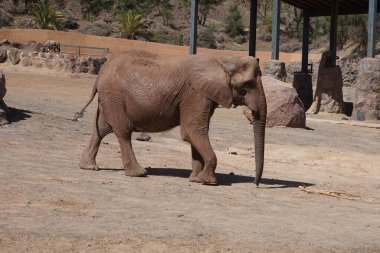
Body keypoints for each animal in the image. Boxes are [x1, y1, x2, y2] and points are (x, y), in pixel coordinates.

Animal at [76, 50, 268, 186]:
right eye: (248, 84)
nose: (256, 184)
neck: (226, 60)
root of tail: (101, 72)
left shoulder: (203, 95)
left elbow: (196, 132)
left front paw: (195, 178)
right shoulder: (195, 94)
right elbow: (193, 129)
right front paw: (208, 181)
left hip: (109, 98)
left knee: (101, 129)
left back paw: (88, 166)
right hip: (114, 97)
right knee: (123, 131)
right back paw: (138, 173)